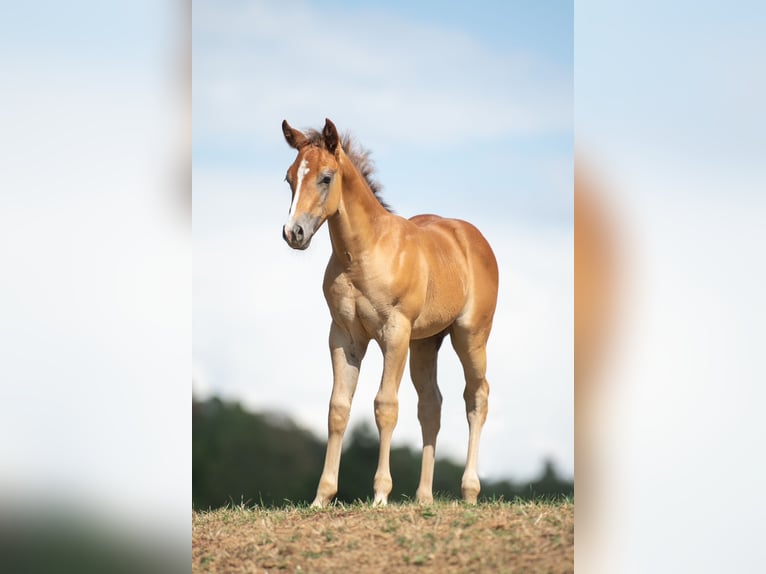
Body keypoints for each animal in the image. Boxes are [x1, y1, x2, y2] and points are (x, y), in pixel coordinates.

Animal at [280, 118, 499, 506]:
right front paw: (321, 497)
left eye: (325, 177)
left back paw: (469, 492)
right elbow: (338, 408)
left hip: (470, 335)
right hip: (425, 343)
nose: (294, 233)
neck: (363, 253)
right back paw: (424, 498)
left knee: (477, 396)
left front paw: (380, 494)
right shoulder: (344, 336)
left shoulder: (394, 332)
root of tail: (470, 236)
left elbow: (385, 405)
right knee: (431, 405)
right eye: (290, 178)